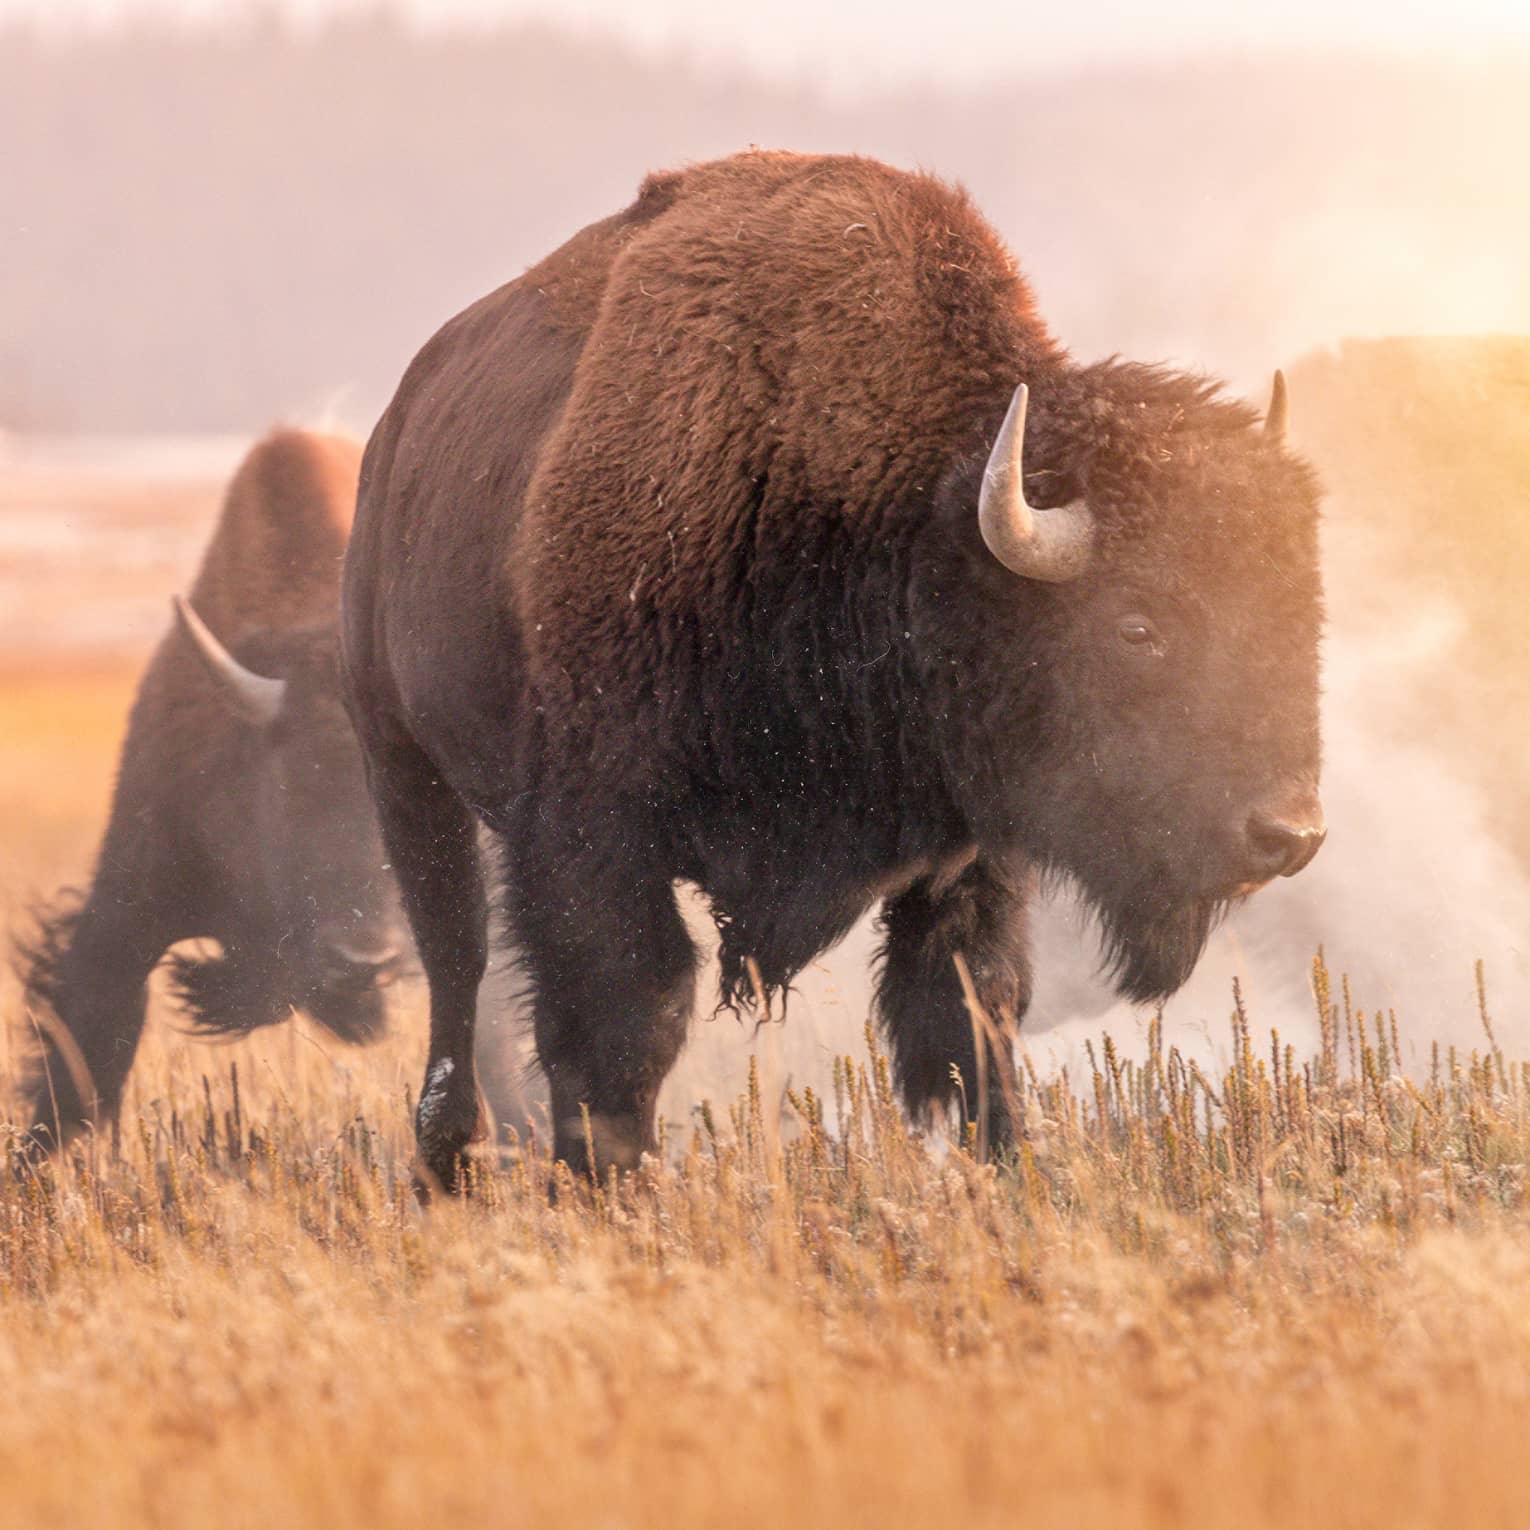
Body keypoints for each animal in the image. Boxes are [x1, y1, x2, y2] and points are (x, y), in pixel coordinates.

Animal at [342, 151, 1326, 1187]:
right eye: (1138, 626)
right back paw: (447, 1157)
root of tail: (395, 429)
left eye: (1301, 606)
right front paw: (616, 1190)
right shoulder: (594, 838)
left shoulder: (969, 859)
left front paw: (1013, 1176)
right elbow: (625, 1026)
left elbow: (973, 1016)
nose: (1289, 833)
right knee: (454, 956)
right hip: (400, 761)